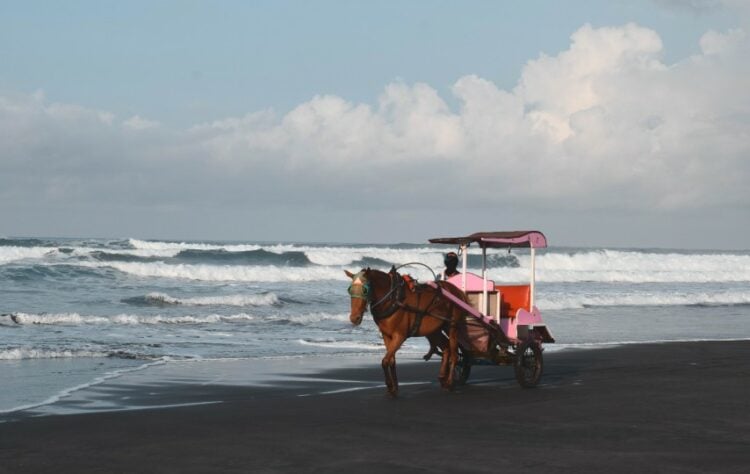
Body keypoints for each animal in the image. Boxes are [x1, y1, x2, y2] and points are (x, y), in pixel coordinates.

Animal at [348, 266, 470, 396]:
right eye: (350, 290)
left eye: (365, 290)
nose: (354, 318)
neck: (393, 299)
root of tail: (457, 291)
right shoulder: (387, 335)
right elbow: (391, 360)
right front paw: (394, 388)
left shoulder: (400, 336)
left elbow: (385, 361)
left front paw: (390, 385)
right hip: (435, 330)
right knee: (446, 348)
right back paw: (442, 377)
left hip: (452, 326)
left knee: (454, 354)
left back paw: (450, 382)